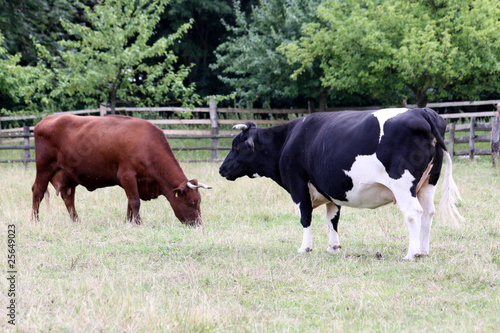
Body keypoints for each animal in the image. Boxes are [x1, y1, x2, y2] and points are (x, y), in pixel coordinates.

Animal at [31, 113, 211, 224]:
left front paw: (129, 221)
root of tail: (46, 120)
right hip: (44, 168)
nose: (198, 224)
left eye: (199, 201)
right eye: (192, 202)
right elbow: (135, 202)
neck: (147, 145)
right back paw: (35, 220)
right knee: (38, 191)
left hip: (69, 175)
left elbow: (130, 204)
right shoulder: (127, 176)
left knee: (68, 198)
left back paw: (76, 221)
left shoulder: (135, 182)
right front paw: (138, 223)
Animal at [219, 107, 460, 258]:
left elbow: (305, 217)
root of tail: (421, 111)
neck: (287, 140)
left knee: (413, 213)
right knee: (428, 212)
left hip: (403, 184)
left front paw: (305, 248)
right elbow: (332, 219)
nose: (222, 169)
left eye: (236, 146)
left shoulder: (298, 186)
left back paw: (411, 253)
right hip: (429, 183)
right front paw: (333, 247)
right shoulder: (330, 190)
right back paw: (423, 251)